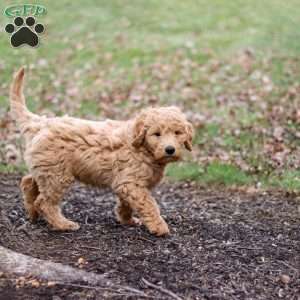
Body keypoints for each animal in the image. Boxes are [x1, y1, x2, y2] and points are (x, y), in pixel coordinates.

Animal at [10, 68, 193, 237]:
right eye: (157, 134)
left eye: (177, 133)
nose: (170, 149)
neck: (143, 149)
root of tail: (41, 123)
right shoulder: (131, 183)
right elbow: (148, 204)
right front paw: (159, 226)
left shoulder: (125, 184)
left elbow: (126, 204)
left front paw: (127, 219)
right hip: (57, 175)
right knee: (45, 202)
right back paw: (63, 224)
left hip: (46, 168)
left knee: (28, 182)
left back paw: (32, 213)